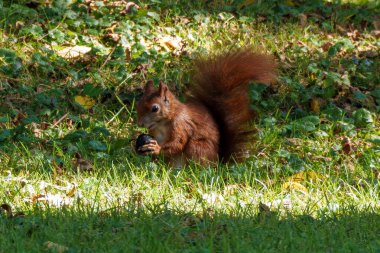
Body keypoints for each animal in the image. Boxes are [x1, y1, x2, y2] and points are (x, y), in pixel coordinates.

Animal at [137, 49, 276, 167]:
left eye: (155, 108)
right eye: (139, 103)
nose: (140, 123)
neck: (163, 122)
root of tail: (218, 163)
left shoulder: (181, 125)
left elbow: (177, 143)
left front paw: (156, 148)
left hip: (197, 148)